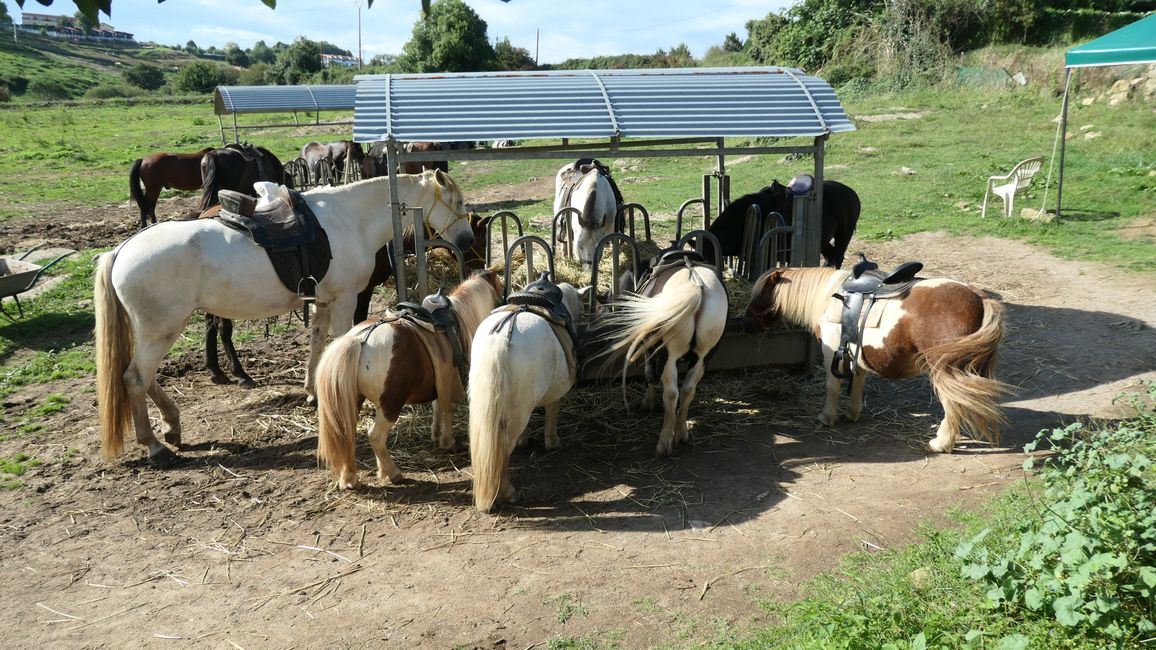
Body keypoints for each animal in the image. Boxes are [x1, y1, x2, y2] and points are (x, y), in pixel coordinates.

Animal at [94, 166, 473, 460]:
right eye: (457, 202)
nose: (466, 240)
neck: (350, 220)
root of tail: (122, 249)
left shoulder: (323, 301)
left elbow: (317, 344)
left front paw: (311, 391)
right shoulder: (346, 299)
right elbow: (340, 342)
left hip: (155, 331)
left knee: (144, 378)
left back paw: (172, 425)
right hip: (162, 329)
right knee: (136, 378)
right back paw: (154, 444)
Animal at [467, 278, 582, 511]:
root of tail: (500, 337)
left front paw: (524, 440)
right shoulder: (555, 393)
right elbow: (552, 412)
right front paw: (553, 442)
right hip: (519, 409)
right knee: (503, 447)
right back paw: (508, 492)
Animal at [591, 247, 725, 455]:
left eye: (601, 310)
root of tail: (697, 286)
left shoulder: (649, 347)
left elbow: (649, 374)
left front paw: (649, 402)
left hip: (667, 356)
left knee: (671, 393)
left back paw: (664, 442)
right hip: (704, 356)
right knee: (688, 389)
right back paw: (681, 434)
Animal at [698, 174, 864, 268]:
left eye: (707, 260)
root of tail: (852, 192)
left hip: (844, 233)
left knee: (838, 256)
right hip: (822, 240)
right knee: (831, 256)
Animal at [744, 263, 1008, 451]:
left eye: (760, 295)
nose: (747, 326)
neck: (829, 297)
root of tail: (980, 299)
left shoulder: (831, 353)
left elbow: (832, 387)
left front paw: (826, 418)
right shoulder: (856, 354)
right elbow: (857, 383)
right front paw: (851, 414)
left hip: (945, 371)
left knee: (953, 405)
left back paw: (941, 444)